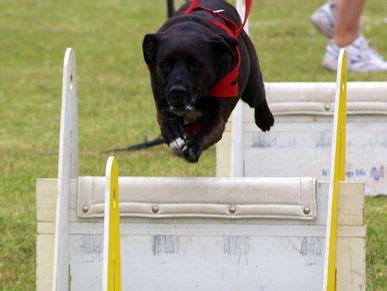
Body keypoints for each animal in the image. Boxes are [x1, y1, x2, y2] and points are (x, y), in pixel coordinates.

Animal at [144, 0, 274, 163]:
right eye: (165, 64)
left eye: (195, 64)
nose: (177, 91)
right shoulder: (162, 102)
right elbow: (166, 118)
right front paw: (174, 136)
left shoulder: (218, 119)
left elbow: (207, 131)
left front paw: (193, 147)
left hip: (252, 84)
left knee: (259, 95)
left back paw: (265, 120)